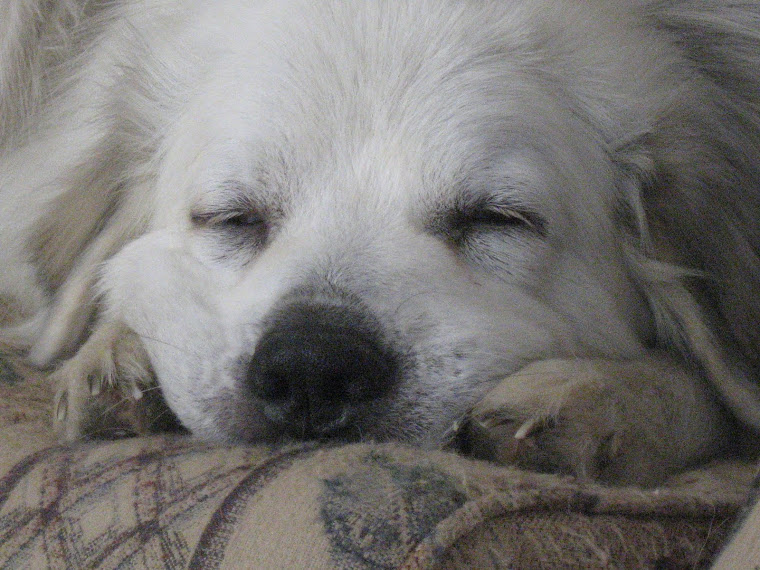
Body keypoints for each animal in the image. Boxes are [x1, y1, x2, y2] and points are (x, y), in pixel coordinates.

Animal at [1, 0, 760, 484]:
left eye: (496, 219)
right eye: (232, 218)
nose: (312, 366)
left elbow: (713, 385)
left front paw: (599, 396)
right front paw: (115, 356)